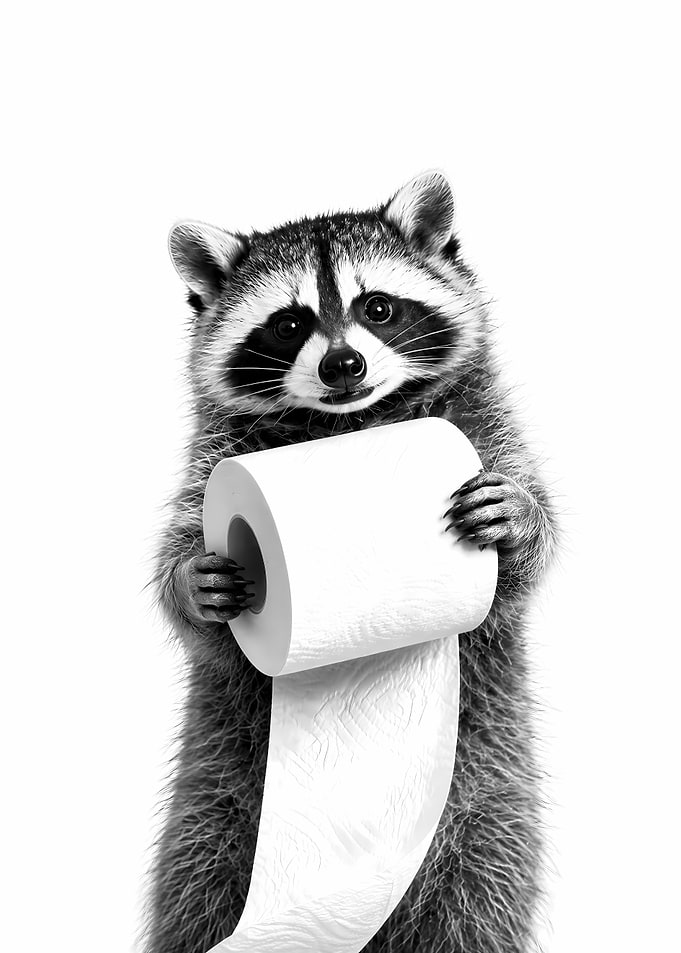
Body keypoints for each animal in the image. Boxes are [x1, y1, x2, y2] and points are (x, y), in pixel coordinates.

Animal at [145, 172, 558, 953]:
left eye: (379, 307)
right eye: (289, 324)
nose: (344, 364)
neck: (348, 425)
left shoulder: (482, 427)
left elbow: (521, 571)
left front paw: (520, 522)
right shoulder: (214, 463)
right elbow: (183, 572)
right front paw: (189, 584)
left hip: (489, 815)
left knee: (478, 904)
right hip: (212, 814)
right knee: (197, 894)